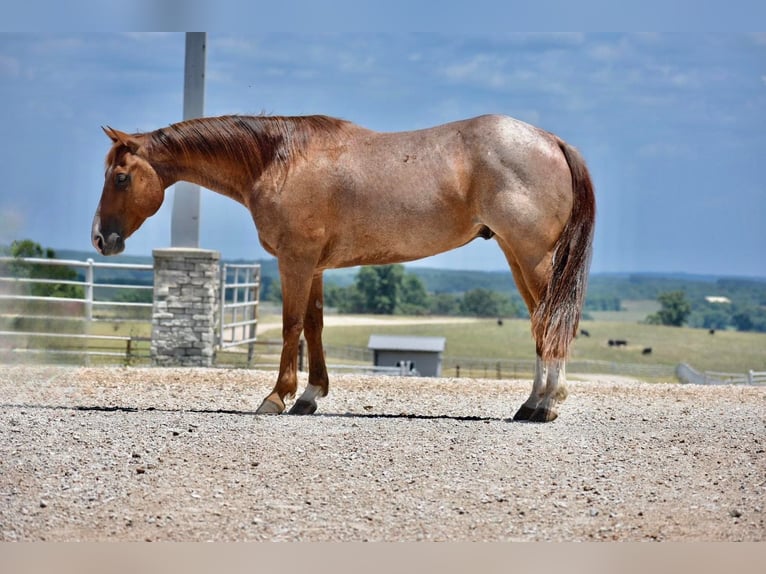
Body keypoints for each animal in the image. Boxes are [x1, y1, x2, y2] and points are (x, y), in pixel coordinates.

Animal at [93, 116, 600, 424]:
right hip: (518, 257)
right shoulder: (313, 267)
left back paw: (547, 405)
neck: (280, 160)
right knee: (542, 323)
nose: (100, 238)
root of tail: (553, 141)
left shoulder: (294, 261)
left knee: (550, 324)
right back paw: (531, 404)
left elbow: (290, 326)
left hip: (532, 257)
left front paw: (276, 397)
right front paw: (310, 396)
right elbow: (314, 326)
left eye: (120, 177)